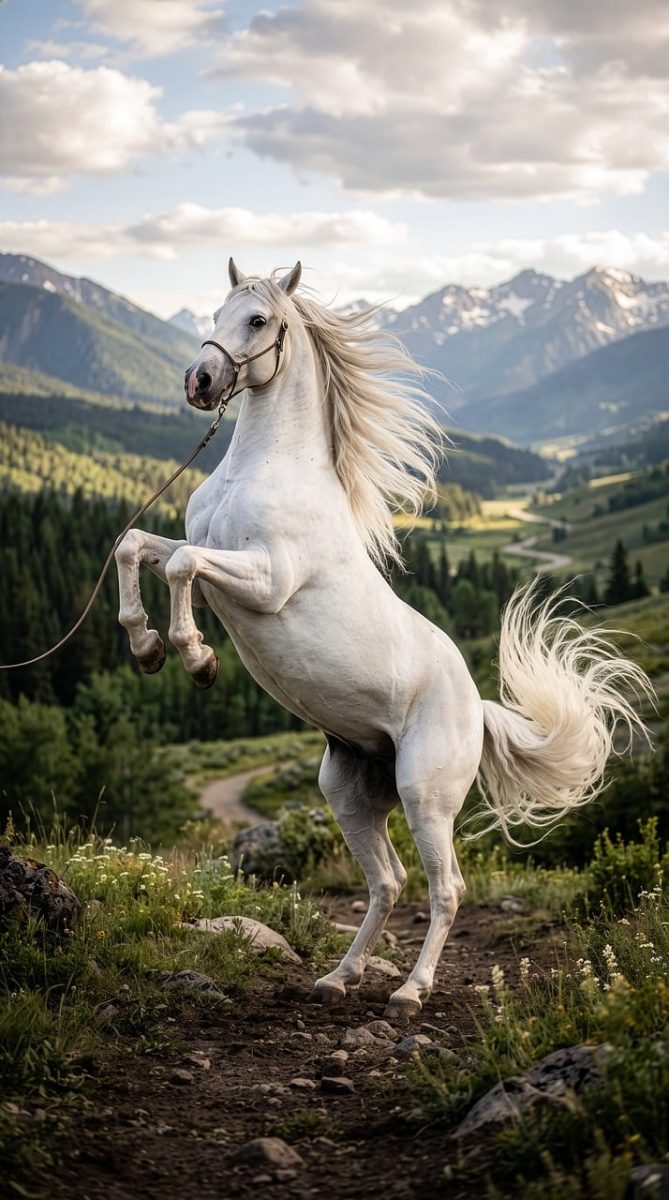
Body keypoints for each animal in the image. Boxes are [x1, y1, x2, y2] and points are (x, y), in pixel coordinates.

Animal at [114, 259, 651, 1020]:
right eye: (217, 312)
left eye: (257, 320)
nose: (201, 382)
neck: (263, 468)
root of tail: (478, 708)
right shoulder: (203, 557)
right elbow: (137, 545)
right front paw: (146, 645)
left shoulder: (267, 580)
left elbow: (185, 563)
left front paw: (197, 658)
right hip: (350, 792)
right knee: (388, 881)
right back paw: (339, 977)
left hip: (425, 795)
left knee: (445, 888)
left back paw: (409, 991)